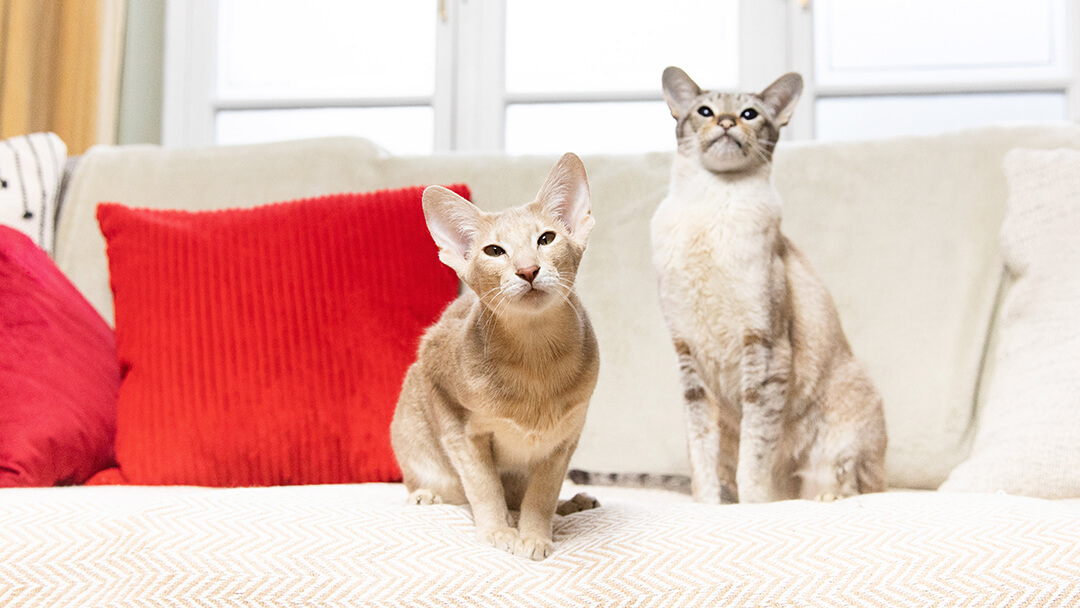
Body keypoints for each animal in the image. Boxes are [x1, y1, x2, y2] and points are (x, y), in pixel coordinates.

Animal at [393, 152, 604, 561]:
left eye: (546, 238)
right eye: (494, 251)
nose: (528, 270)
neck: (535, 356)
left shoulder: (566, 436)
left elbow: (542, 495)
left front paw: (534, 535)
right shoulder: (447, 405)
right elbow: (483, 484)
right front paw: (498, 530)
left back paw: (572, 503)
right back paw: (424, 496)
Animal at [648, 66, 885, 505]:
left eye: (749, 114)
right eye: (705, 111)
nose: (727, 123)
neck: (710, 207)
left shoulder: (765, 345)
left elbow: (756, 452)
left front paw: (754, 506)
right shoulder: (688, 357)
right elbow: (702, 456)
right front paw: (707, 506)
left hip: (848, 422)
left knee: (861, 486)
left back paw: (822, 498)